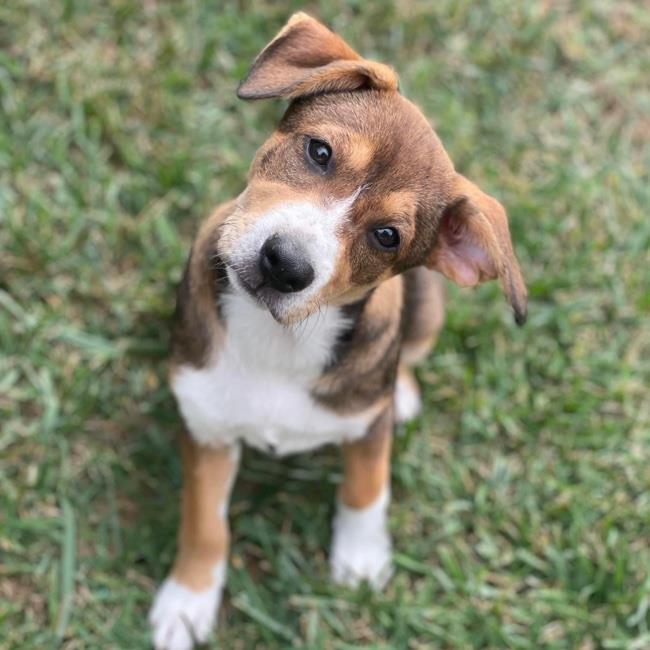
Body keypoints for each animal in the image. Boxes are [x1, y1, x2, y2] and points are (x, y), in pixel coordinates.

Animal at [149, 13, 524, 648]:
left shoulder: (364, 430)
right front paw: (187, 600)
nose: (285, 264)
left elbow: (366, 486)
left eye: (387, 237)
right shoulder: (207, 426)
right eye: (319, 151)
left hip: (428, 310)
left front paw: (363, 560)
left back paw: (403, 394)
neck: (279, 340)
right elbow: (204, 521)